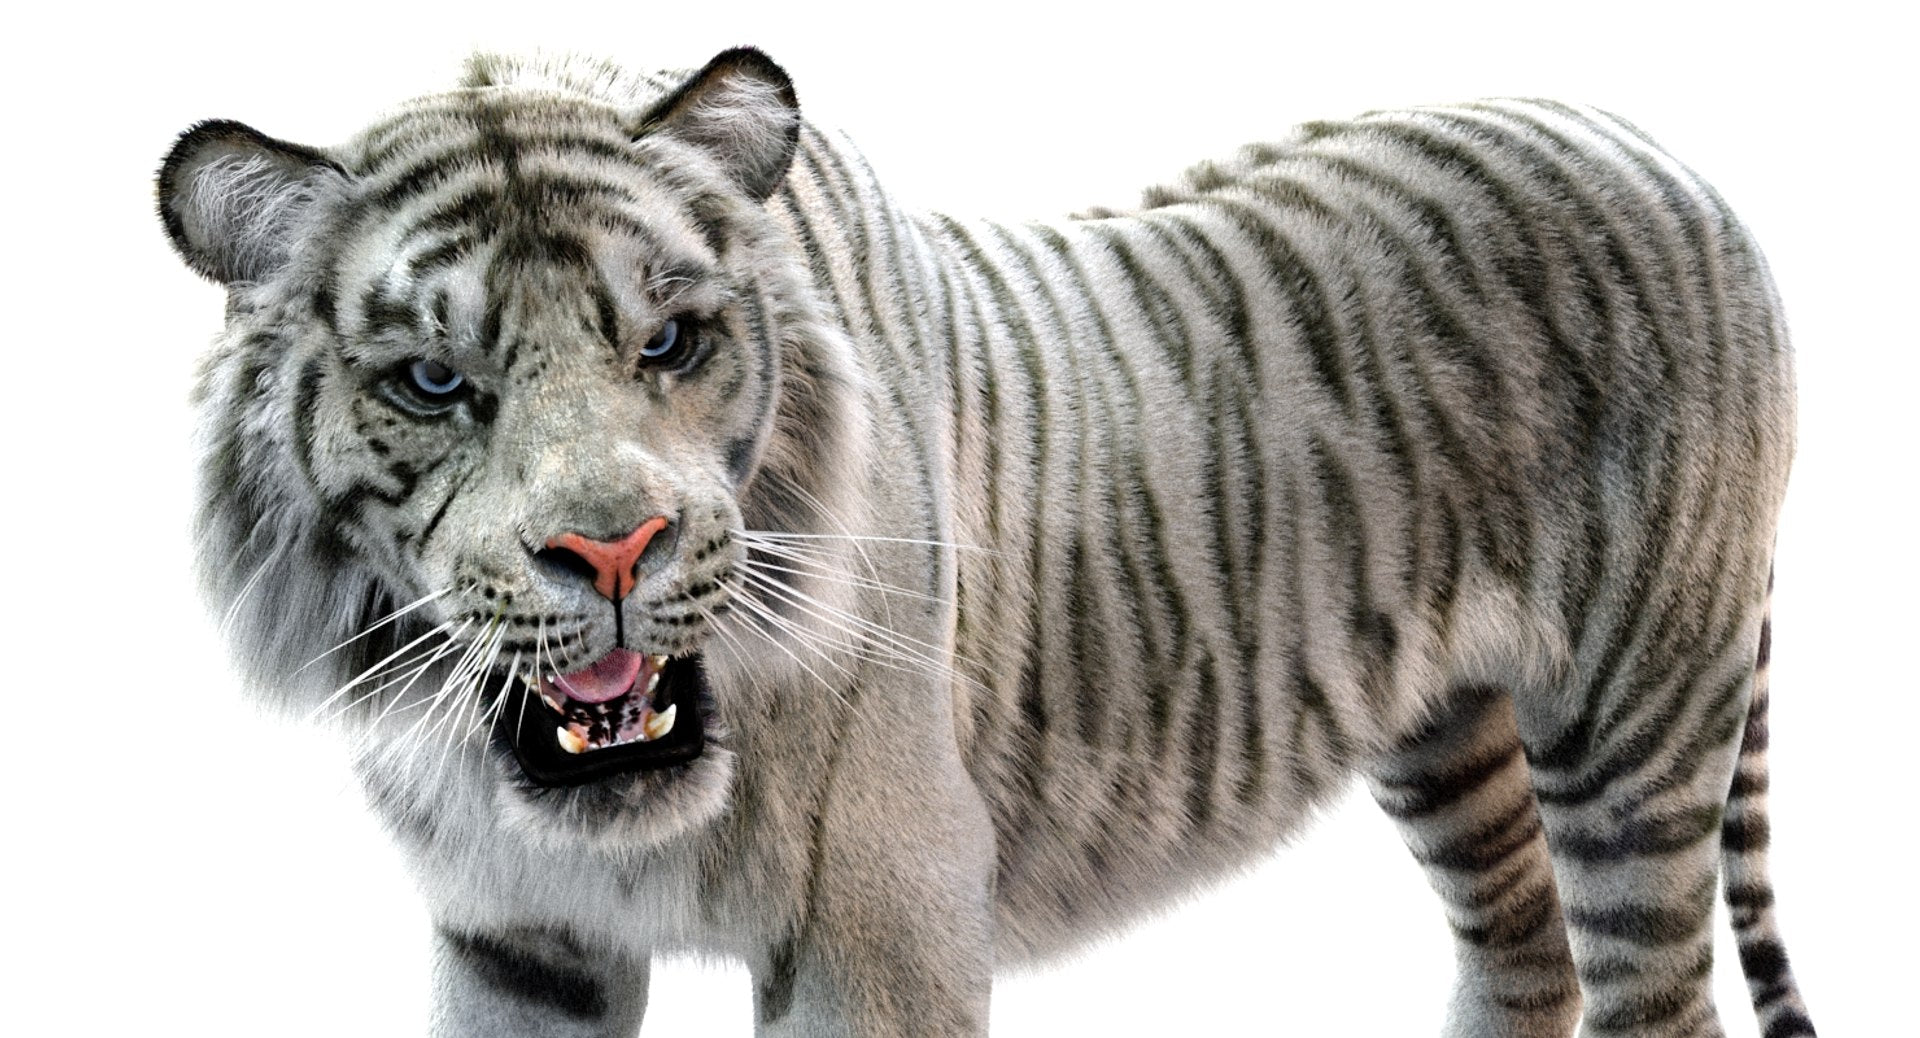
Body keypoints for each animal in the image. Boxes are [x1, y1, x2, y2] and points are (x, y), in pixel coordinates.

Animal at [157, 47, 1816, 1037]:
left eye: (672, 341)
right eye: (435, 381)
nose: (617, 550)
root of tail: (1636, 136)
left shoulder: (877, 919)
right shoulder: (513, 931)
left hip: (1637, 720)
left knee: (1656, 990)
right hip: (1448, 726)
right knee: (1523, 949)